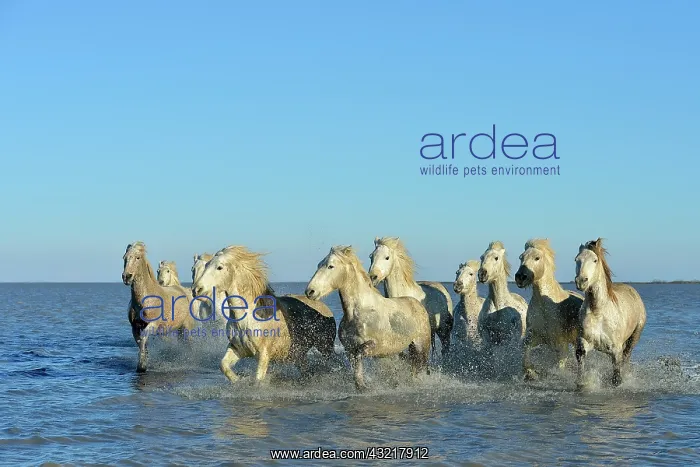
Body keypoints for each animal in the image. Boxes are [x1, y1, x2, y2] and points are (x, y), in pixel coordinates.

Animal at [122, 242, 199, 372]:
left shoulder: (152, 324)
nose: (127, 276)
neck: (145, 299)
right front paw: (143, 362)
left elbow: (143, 340)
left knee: (189, 343)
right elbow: (141, 343)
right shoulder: (135, 327)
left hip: (186, 327)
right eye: (125, 257)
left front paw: (142, 366)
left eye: (138, 257)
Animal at [192, 245, 337, 384]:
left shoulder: (264, 354)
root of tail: (324, 307)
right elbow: (223, 366)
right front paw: (239, 380)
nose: (196, 290)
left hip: (325, 347)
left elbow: (258, 379)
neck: (247, 318)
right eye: (206, 265)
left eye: (219, 267)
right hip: (298, 355)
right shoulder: (237, 348)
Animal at [305, 245, 432, 391]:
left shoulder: (375, 345)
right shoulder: (349, 349)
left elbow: (360, 354)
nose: (310, 291)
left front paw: (363, 385)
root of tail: (418, 304)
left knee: (420, 366)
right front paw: (360, 385)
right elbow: (356, 364)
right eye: (319, 264)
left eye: (330, 266)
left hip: (421, 346)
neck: (357, 312)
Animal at [514, 238, 583, 381]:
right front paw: (531, 372)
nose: (520, 277)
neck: (544, 306)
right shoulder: (536, 336)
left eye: (537, 258)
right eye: (521, 257)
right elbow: (525, 354)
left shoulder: (560, 343)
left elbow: (559, 365)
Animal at [574, 238, 646, 387]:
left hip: (634, 337)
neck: (598, 312)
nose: (581, 281)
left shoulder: (616, 350)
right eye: (576, 259)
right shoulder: (584, 343)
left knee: (627, 357)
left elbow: (616, 379)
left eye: (595, 260)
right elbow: (581, 372)